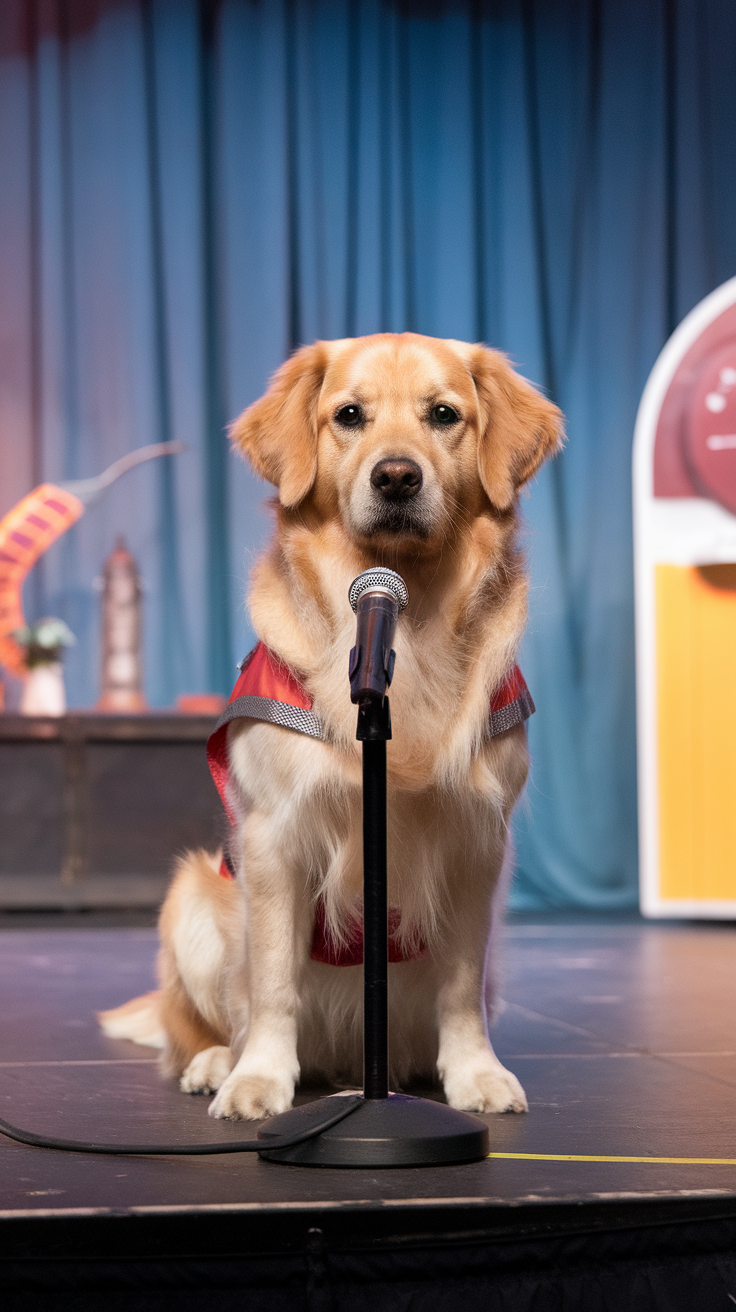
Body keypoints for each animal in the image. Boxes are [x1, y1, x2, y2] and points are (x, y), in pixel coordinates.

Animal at [99, 330, 561, 1117]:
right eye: (349, 415)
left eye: (444, 414)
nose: (397, 477)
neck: (410, 629)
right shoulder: (273, 837)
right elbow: (273, 983)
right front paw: (258, 1079)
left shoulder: (476, 841)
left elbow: (461, 986)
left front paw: (475, 1073)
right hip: (192, 898)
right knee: (201, 1024)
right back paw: (219, 1062)